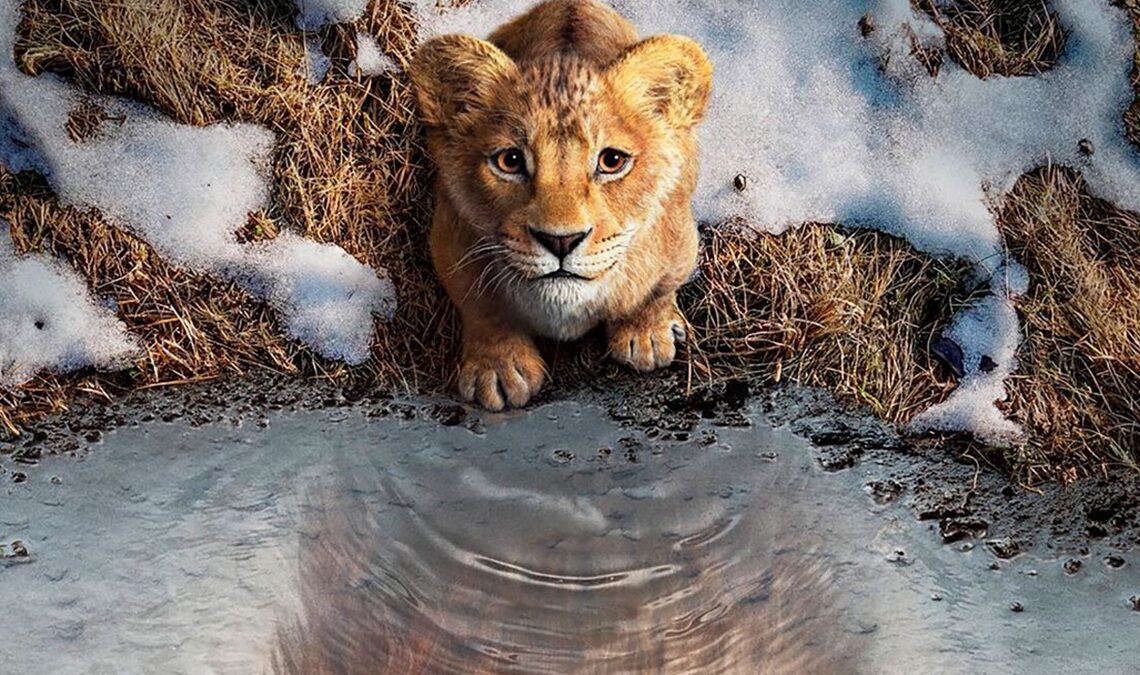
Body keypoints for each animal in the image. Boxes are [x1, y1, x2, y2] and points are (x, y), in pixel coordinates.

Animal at [410, 0, 712, 410]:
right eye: (510, 161)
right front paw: (498, 368)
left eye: (612, 161)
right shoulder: (450, 238)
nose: (560, 241)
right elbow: (481, 306)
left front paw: (647, 334)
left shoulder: (679, 239)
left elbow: (657, 289)